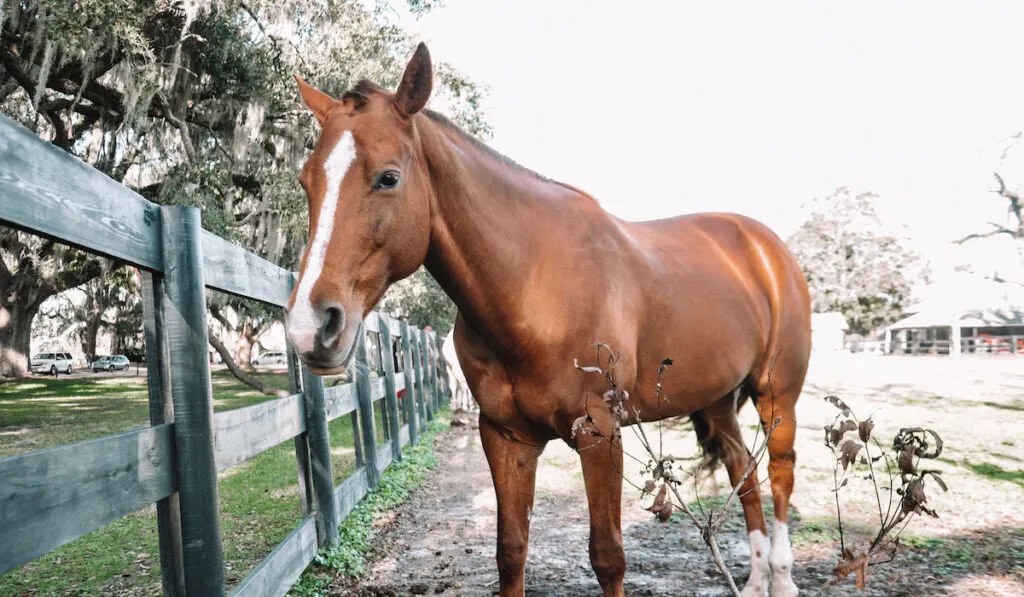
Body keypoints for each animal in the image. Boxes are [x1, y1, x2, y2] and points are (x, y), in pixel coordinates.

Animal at [286, 43, 806, 597]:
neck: (533, 287)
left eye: (388, 177)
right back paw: (756, 579)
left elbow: (608, 557)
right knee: (742, 469)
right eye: (306, 182)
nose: (309, 326)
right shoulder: (507, 438)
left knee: (779, 474)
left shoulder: (600, 434)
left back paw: (782, 575)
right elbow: (511, 551)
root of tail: (765, 248)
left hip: (776, 396)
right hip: (718, 400)